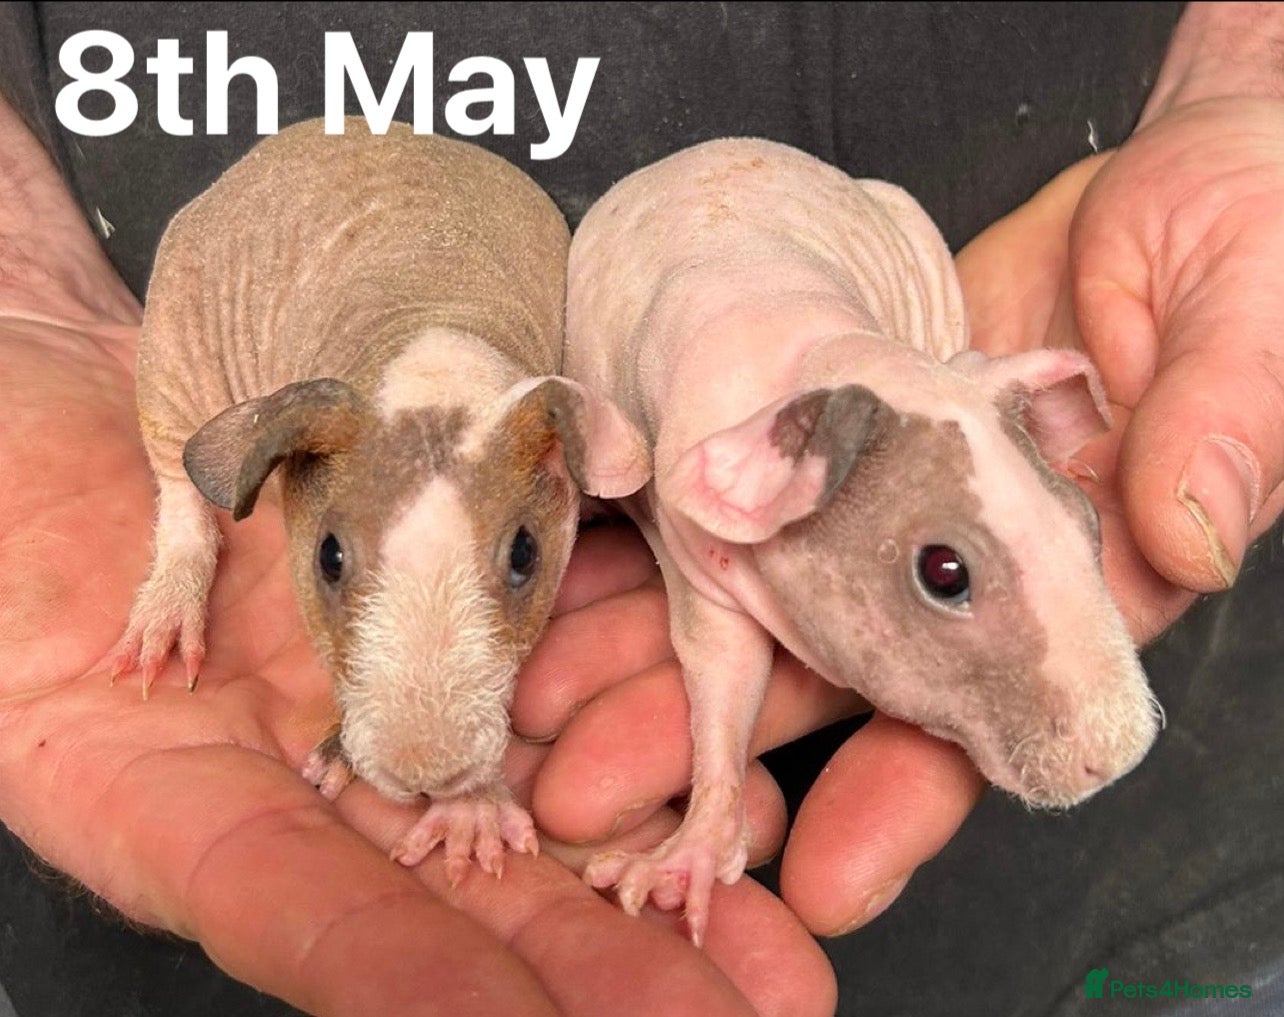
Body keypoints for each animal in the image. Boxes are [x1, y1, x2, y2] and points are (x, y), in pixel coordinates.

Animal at [110, 118, 650, 879]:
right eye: (329, 557)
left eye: (525, 555)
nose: (425, 772)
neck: (433, 332)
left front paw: (470, 808)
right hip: (176, 338)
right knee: (181, 480)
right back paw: (168, 611)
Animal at [565, 138, 1162, 944]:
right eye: (945, 572)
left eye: (1091, 528)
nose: (1124, 752)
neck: (809, 344)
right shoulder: (689, 525)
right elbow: (722, 659)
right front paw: (696, 846)